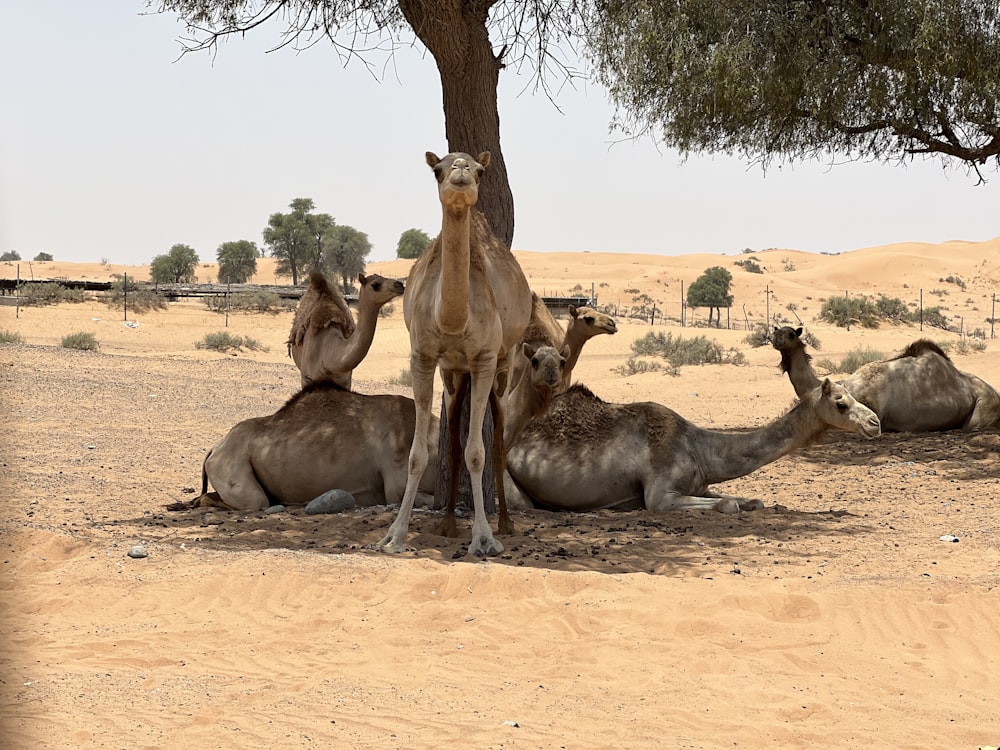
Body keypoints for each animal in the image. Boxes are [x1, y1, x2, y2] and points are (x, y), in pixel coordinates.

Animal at [376, 150, 532, 560]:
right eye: (437, 170)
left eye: (479, 171)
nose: (461, 171)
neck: (451, 319)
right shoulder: (423, 357)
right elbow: (419, 454)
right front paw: (395, 535)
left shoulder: (484, 359)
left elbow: (478, 451)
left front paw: (483, 538)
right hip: (453, 373)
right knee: (452, 439)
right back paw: (446, 524)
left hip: (504, 365)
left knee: (497, 441)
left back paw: (505, 523)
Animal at [504, 378, 880, 516]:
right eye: (841, 403)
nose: (875, 422)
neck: (698, 447)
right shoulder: (659, 495)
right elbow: (729, 505)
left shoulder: (700, 484)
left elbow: (749, 500)